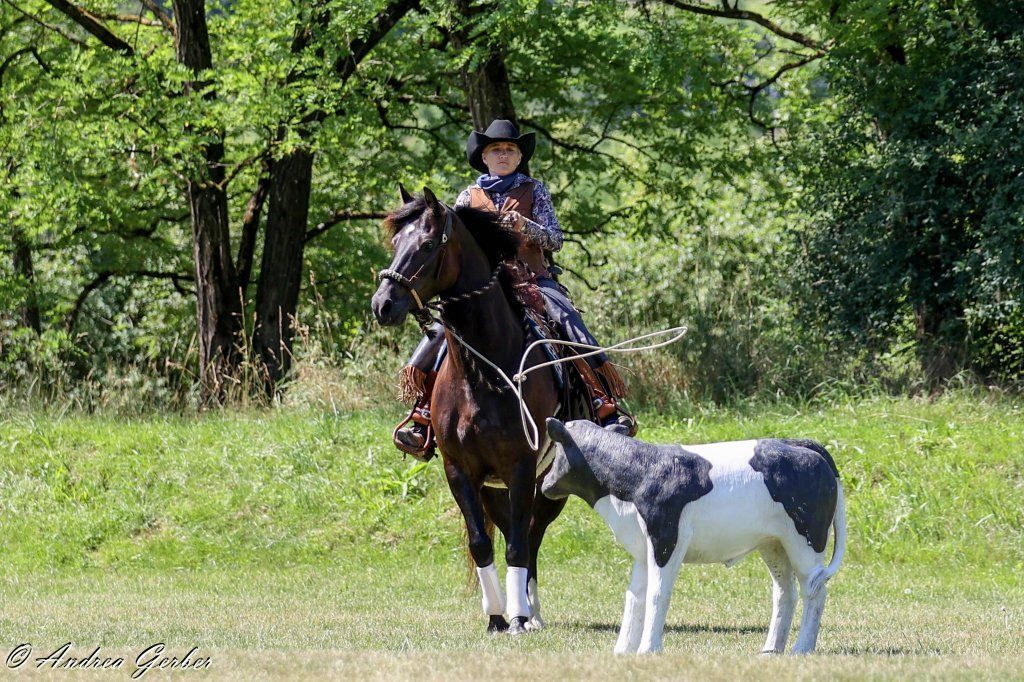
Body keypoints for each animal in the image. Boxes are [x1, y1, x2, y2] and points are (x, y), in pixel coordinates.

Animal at [371, 186, 588, 634]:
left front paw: (518, 618)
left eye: (428, 245)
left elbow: (519, 546)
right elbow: (481, 543)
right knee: (514, 533)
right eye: (396, 242)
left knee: (531, 536)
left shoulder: (521, 467)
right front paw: (496, 618)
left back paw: (532, 614)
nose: (382, 304)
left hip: (547, 485)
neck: (482, 375)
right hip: (495, 490)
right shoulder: (460, 471)